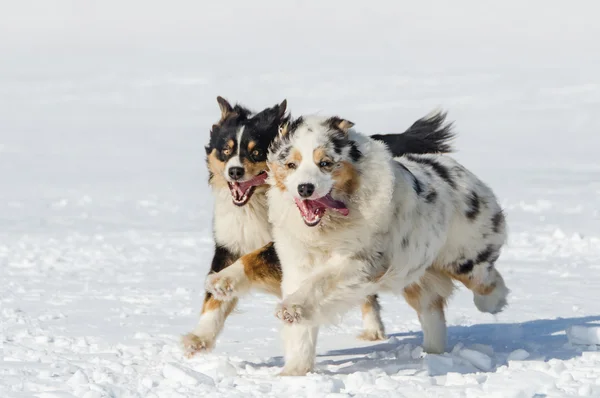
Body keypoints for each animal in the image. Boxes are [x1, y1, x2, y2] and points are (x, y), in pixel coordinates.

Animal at [182, 98, 454, 358]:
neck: (257, 203)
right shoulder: (231, 242)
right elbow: (215, 300)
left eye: (257, 151)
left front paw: (222, 282)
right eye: (226, 150)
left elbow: (253, 259)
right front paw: (199, 337)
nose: (235, 171)